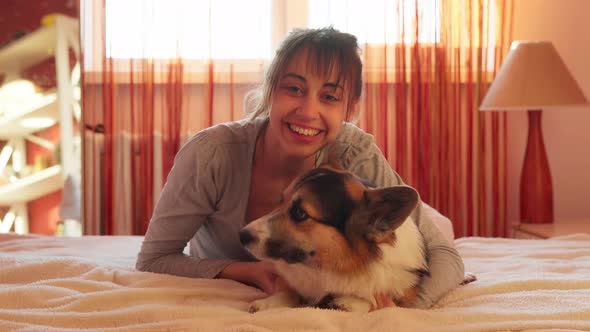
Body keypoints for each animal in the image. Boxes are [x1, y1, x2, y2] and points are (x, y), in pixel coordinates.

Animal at [239, 162, 430, 312]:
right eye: (281, 200)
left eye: (300, 213)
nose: (241, 235)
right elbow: (290, 291)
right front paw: (268, 303)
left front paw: (350, 302)